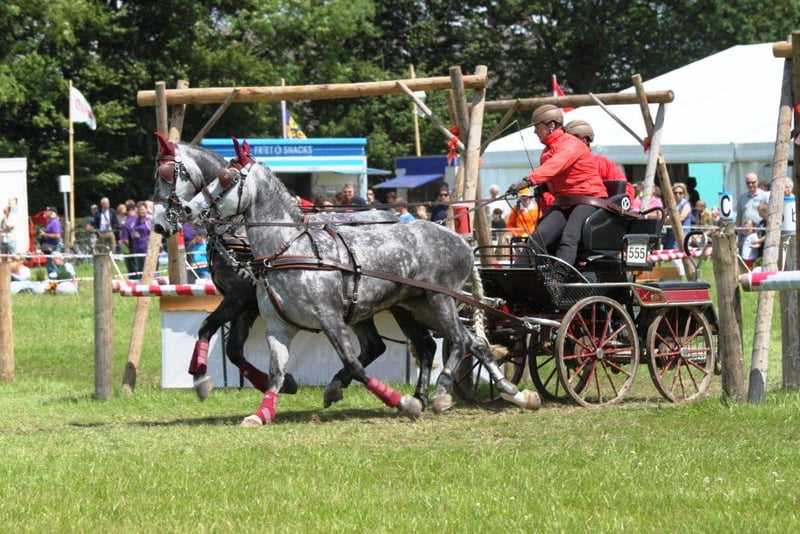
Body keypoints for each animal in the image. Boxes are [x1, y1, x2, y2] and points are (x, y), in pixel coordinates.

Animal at [150, 134, 400, 406]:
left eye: (166, 174)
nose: (159, 225)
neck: (238, 230)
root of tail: (393, 216)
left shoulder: (239, 298)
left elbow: (207, 327)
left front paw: (201, 379)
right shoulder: (247, 306)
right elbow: (233, 350)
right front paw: (281, 383)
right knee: (375, 346)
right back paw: (337, 384)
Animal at [183, 138, 536, 428]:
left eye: (227, 179)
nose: (188, 209)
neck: (289, 250)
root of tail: (460, 238)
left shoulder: (331, 320)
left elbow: (354, 365)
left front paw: (403, 402)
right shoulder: (277, 328)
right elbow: (275, 373)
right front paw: (262, 412)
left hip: (441, 300)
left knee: (459, 341)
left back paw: (442, 392)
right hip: (419, 304)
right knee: (471, 342)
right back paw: (513, 392)